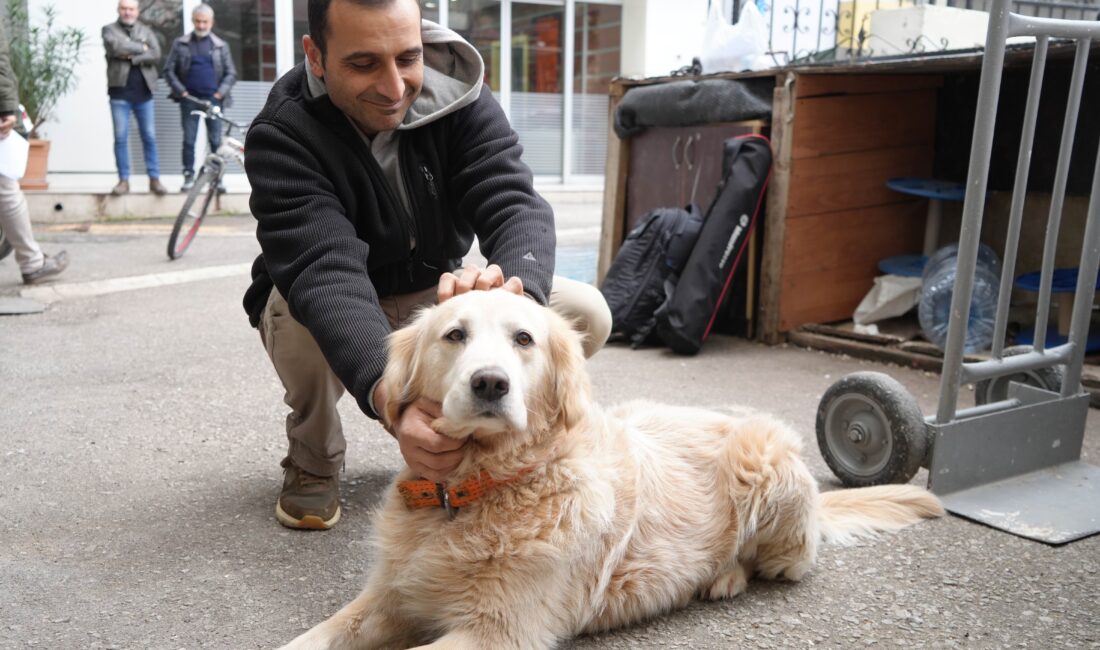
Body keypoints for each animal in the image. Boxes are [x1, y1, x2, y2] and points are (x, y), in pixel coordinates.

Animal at [279, 290, 941, 650]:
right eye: (454, 335)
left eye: (524, 339)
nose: (490, 383)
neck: (471, 491)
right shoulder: (389, 596)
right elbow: (312, 636)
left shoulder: (501, 631)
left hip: (766, 461)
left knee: (784, 561)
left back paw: (724, 576)